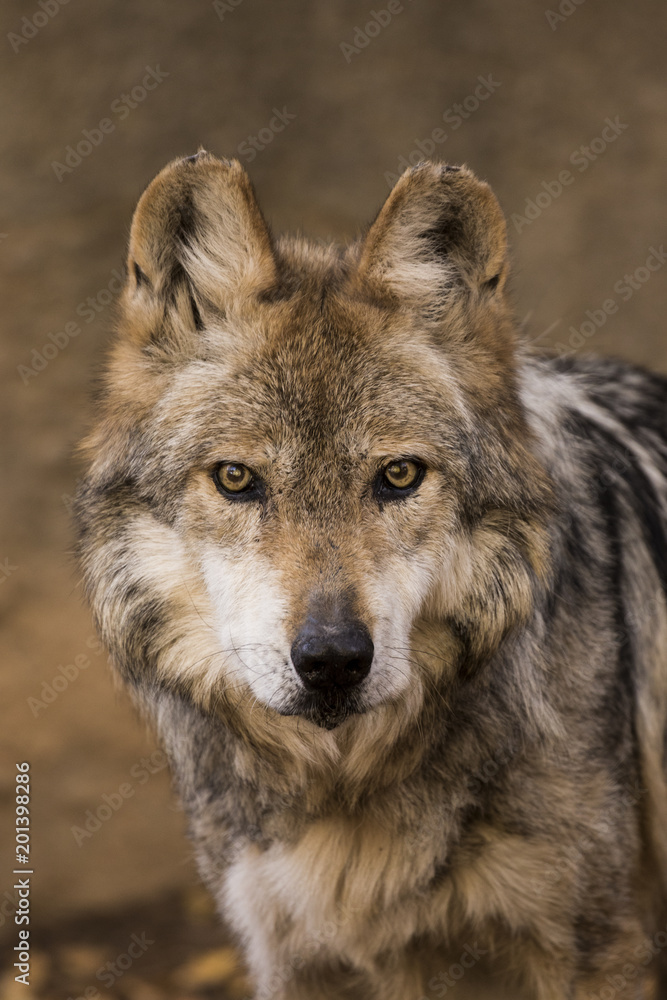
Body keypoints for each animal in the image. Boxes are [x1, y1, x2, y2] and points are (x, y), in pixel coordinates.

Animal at [74, 151, 667, 999]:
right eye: (235, 479)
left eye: (397, 475)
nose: (331, 661)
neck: (345, 792)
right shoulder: (291, 959)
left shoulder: (599, 951)